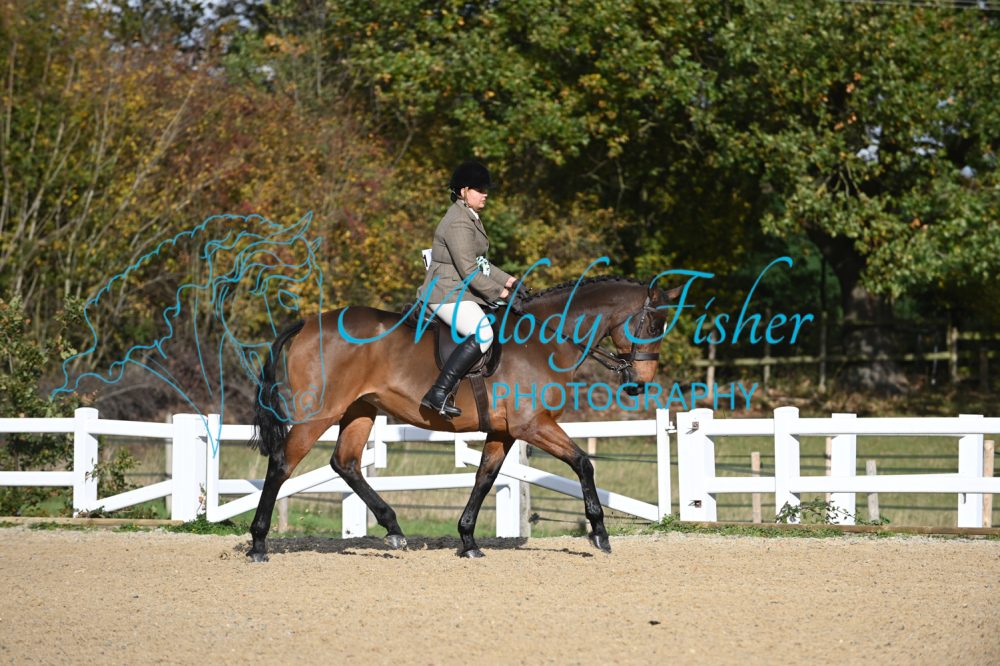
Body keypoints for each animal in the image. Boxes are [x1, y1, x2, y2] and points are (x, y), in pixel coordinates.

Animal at [247, 276, 673, 560]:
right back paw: (258, 543)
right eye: (653, 325)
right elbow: (583, 463)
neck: (544, 340)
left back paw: (394, 529)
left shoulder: (504, 432)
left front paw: (468, 541)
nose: (641, 383)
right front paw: (599, 533)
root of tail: (308, 323)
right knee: (283, 463)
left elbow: (485, 478)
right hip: (320, 412)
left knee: (345, 463)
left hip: (360, 410)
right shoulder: (532, 425)